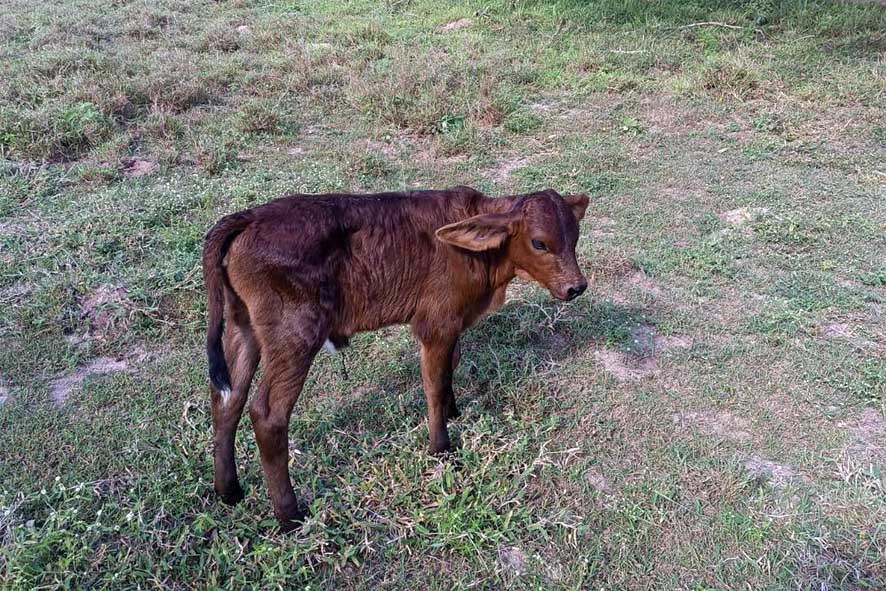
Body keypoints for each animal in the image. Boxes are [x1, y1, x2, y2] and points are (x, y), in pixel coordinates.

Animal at [202, 186, 588, 532]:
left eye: (575, 238)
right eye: (539, 243)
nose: (577, 287)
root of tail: (250, 216)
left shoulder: (453, 324)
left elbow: (450, 367)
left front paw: (454, 411)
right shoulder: (437, 323)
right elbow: (434, 384)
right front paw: (441, 448)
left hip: (243, 327)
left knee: (227, 399)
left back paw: (229, 491)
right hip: (294, 335)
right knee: (267, 415)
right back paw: (289, 516)